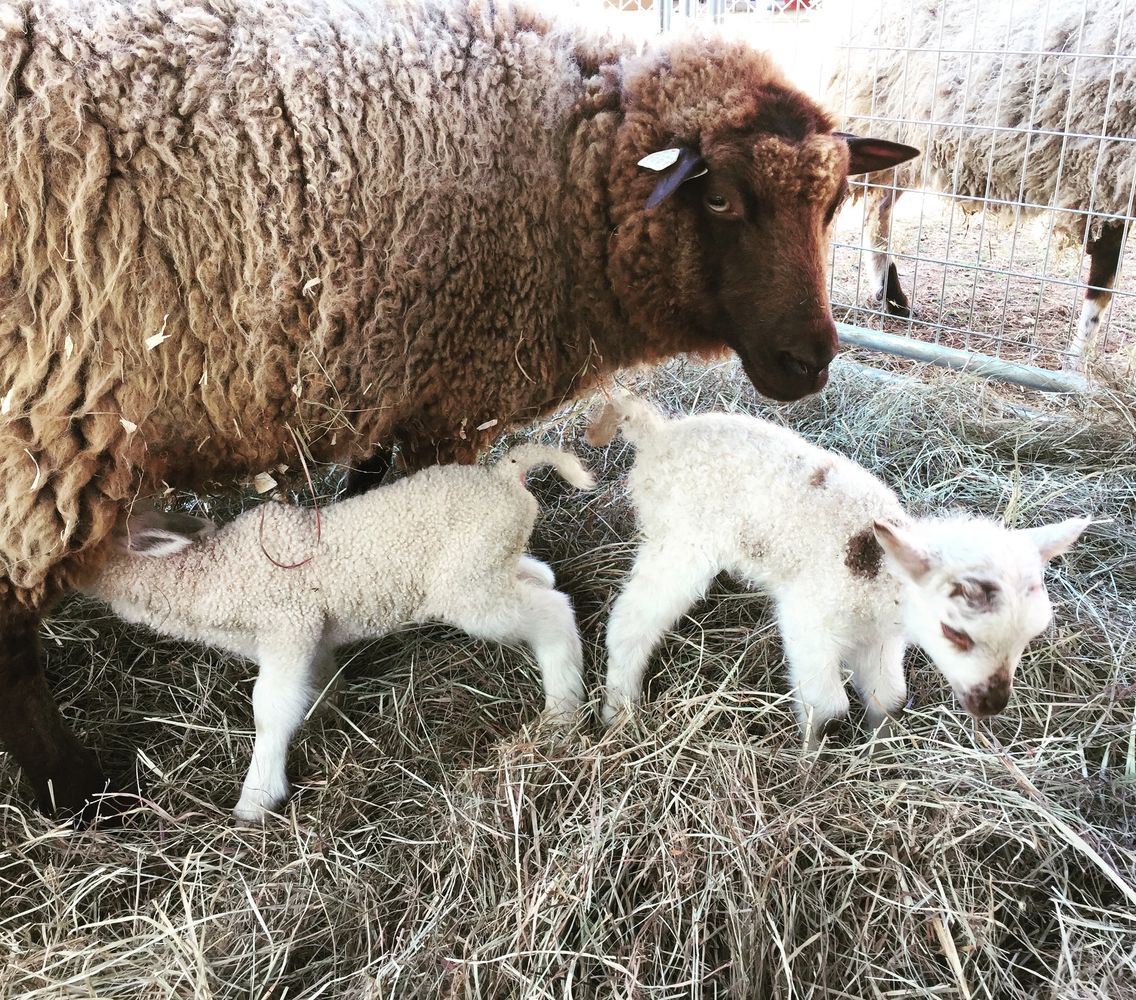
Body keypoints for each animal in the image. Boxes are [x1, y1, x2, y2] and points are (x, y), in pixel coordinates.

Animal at [81, 445, 595, 818]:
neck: (209, 571)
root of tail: (505, 477)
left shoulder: (289, 623)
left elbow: (270, 708)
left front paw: (257, 798)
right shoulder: (313, 634)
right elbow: (317, 680)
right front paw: (328, 710)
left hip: (472, 588)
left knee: (553, 614)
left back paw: (562, 714)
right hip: (492, 567)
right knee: (542, 577)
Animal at [590, 395, 1086, 745]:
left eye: (1031, 635)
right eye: (955, 633)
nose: (992, 704)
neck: (875, 573)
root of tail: (657, 435)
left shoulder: (882, 639)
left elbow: (890, 700)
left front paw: (875, 750)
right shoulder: (811, 616)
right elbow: (827, 708)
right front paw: (810, 765)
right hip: (679, 538)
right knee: (631, 620)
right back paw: (618, 712)